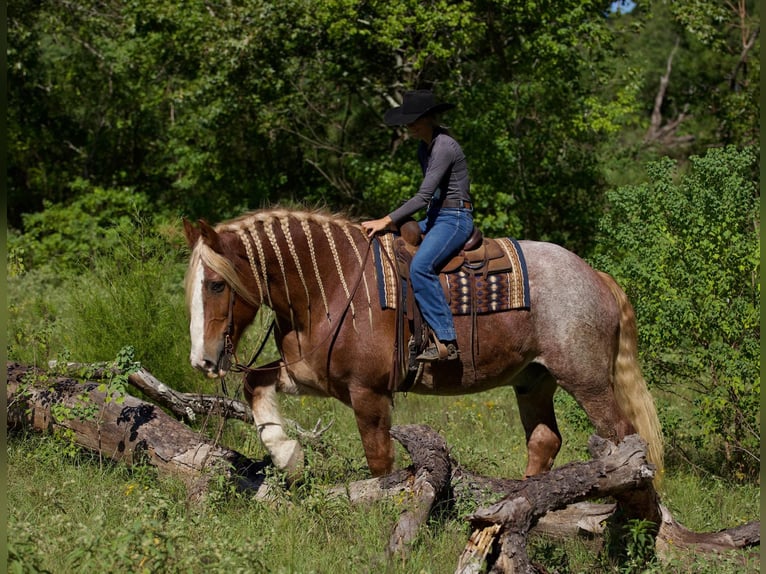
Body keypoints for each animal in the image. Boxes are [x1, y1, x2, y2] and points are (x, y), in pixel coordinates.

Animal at [183, 208, 664, 486]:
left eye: (217, 284)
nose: (202, 360)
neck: (332, 287)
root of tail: (595, 275)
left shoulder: (369, 393)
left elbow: (380, 460)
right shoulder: (311, 377)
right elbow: (255, 383)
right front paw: (287, 455)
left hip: (586, 381)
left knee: (624, 437)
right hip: (534, 381)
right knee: (545, 440)